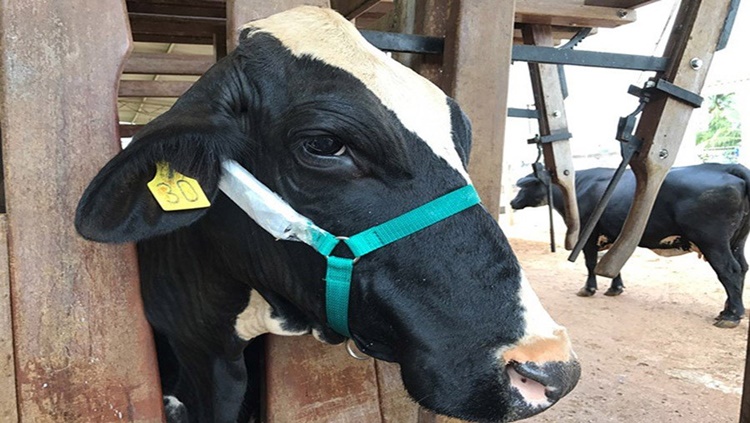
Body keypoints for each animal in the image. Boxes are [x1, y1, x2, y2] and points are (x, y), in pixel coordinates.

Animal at [510, 164, 750, 328]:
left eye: (526, 185)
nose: (512, 202)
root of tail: (724, 166)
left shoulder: (589, 234)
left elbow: (591, 263)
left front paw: (589, 289)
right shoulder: (615, 235)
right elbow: (612, 263)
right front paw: (615, 288)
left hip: (713, 241)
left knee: (729, 271)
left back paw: (732, 315)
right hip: (736, 242)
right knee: (743, 268)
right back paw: (728, 309)